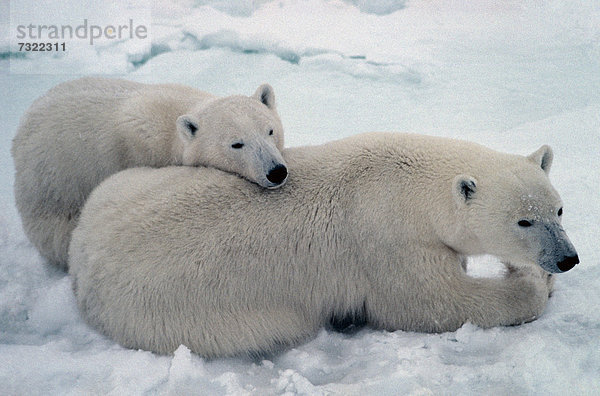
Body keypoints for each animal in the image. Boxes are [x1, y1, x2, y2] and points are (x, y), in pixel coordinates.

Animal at [68, 133, 580, 358]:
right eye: (523, 220)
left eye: (558, 210)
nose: (568, 258)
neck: (408, 186)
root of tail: (80, 261)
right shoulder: (387, 243)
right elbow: (432, 303)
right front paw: (530, 280)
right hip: (176, 316)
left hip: (128, 183)